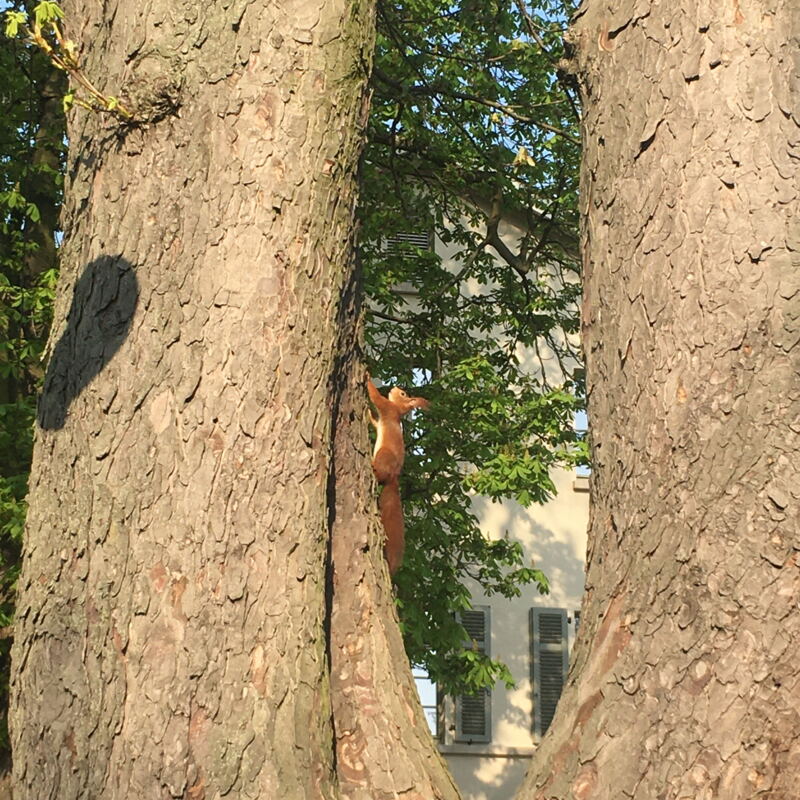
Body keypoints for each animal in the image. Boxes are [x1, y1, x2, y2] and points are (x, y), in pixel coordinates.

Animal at [367, 377, 430, 575]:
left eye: (402, 394)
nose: (395, 387)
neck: (398, 411)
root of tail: (394, 478)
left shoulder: (387, 408)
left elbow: (376, 397)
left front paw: (367, 377)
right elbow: (375, 421)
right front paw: (367, 413)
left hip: (384, 455)